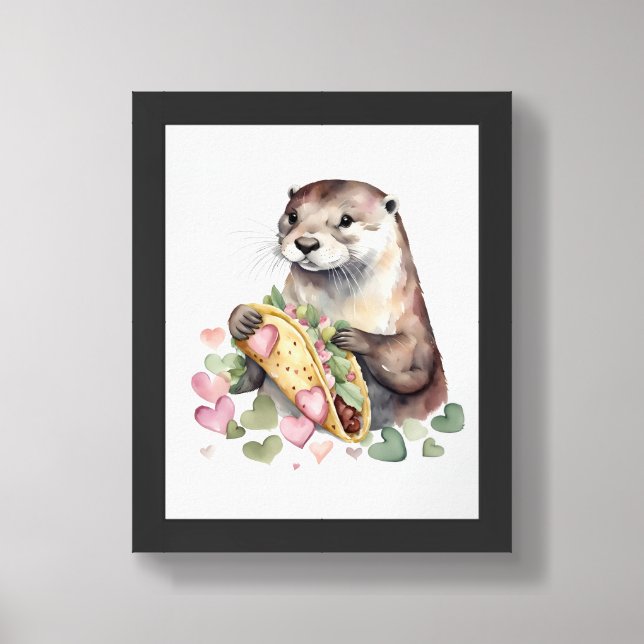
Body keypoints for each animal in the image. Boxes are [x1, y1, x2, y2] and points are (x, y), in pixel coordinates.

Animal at [229, 179, 447, 430]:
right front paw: (242, 318)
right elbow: (253, 376)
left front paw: (354, 338)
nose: (306, 243)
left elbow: (406, 356)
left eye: (346, 220)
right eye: (292, 216)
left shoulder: (417, 329)